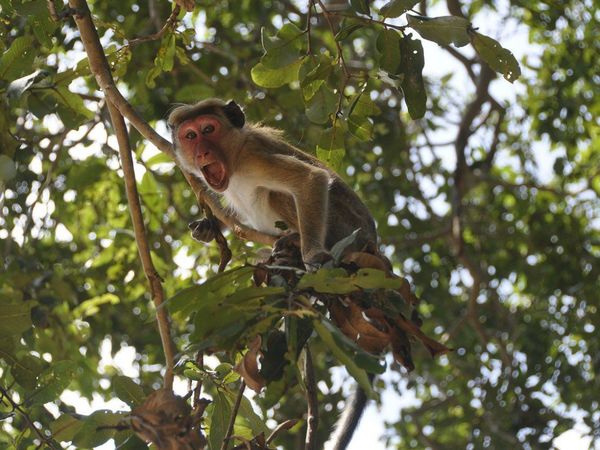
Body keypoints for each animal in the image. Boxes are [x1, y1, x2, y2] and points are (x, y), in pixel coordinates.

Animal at [166, 98, 378, 446]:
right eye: (191, 135)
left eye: (209, 129)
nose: (202, 152)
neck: (234, 158)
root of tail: (373, 243)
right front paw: (210, 226)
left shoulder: (254, 158)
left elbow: (310, 180)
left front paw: (313, 255)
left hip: (346, 230)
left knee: (279, 193)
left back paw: (295, 247)